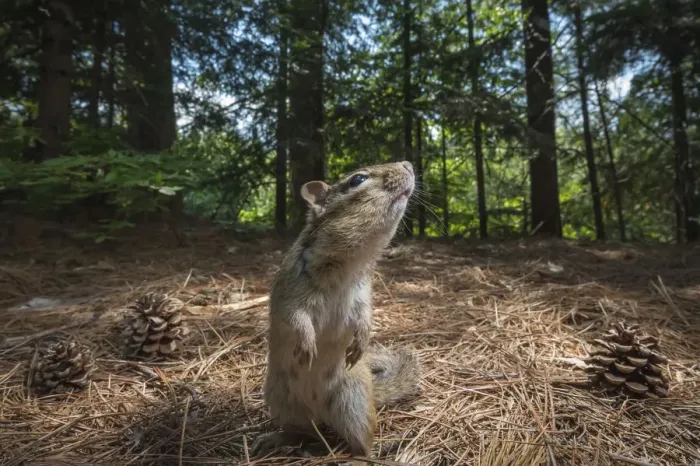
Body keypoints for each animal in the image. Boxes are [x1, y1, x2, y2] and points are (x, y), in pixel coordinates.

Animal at [252, 161, 421, 464]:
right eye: (357, 180)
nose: (408, 164)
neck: (348, 264)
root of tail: (319, 412)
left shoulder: (363, 295)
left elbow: (365, 317)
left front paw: (361, 341)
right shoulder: (289, 295)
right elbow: (295, 317)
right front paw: (307, 343)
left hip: (354, 404)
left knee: (361, 443)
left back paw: (355, 457)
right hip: (282, 401)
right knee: (301, 432)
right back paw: (276, 438)